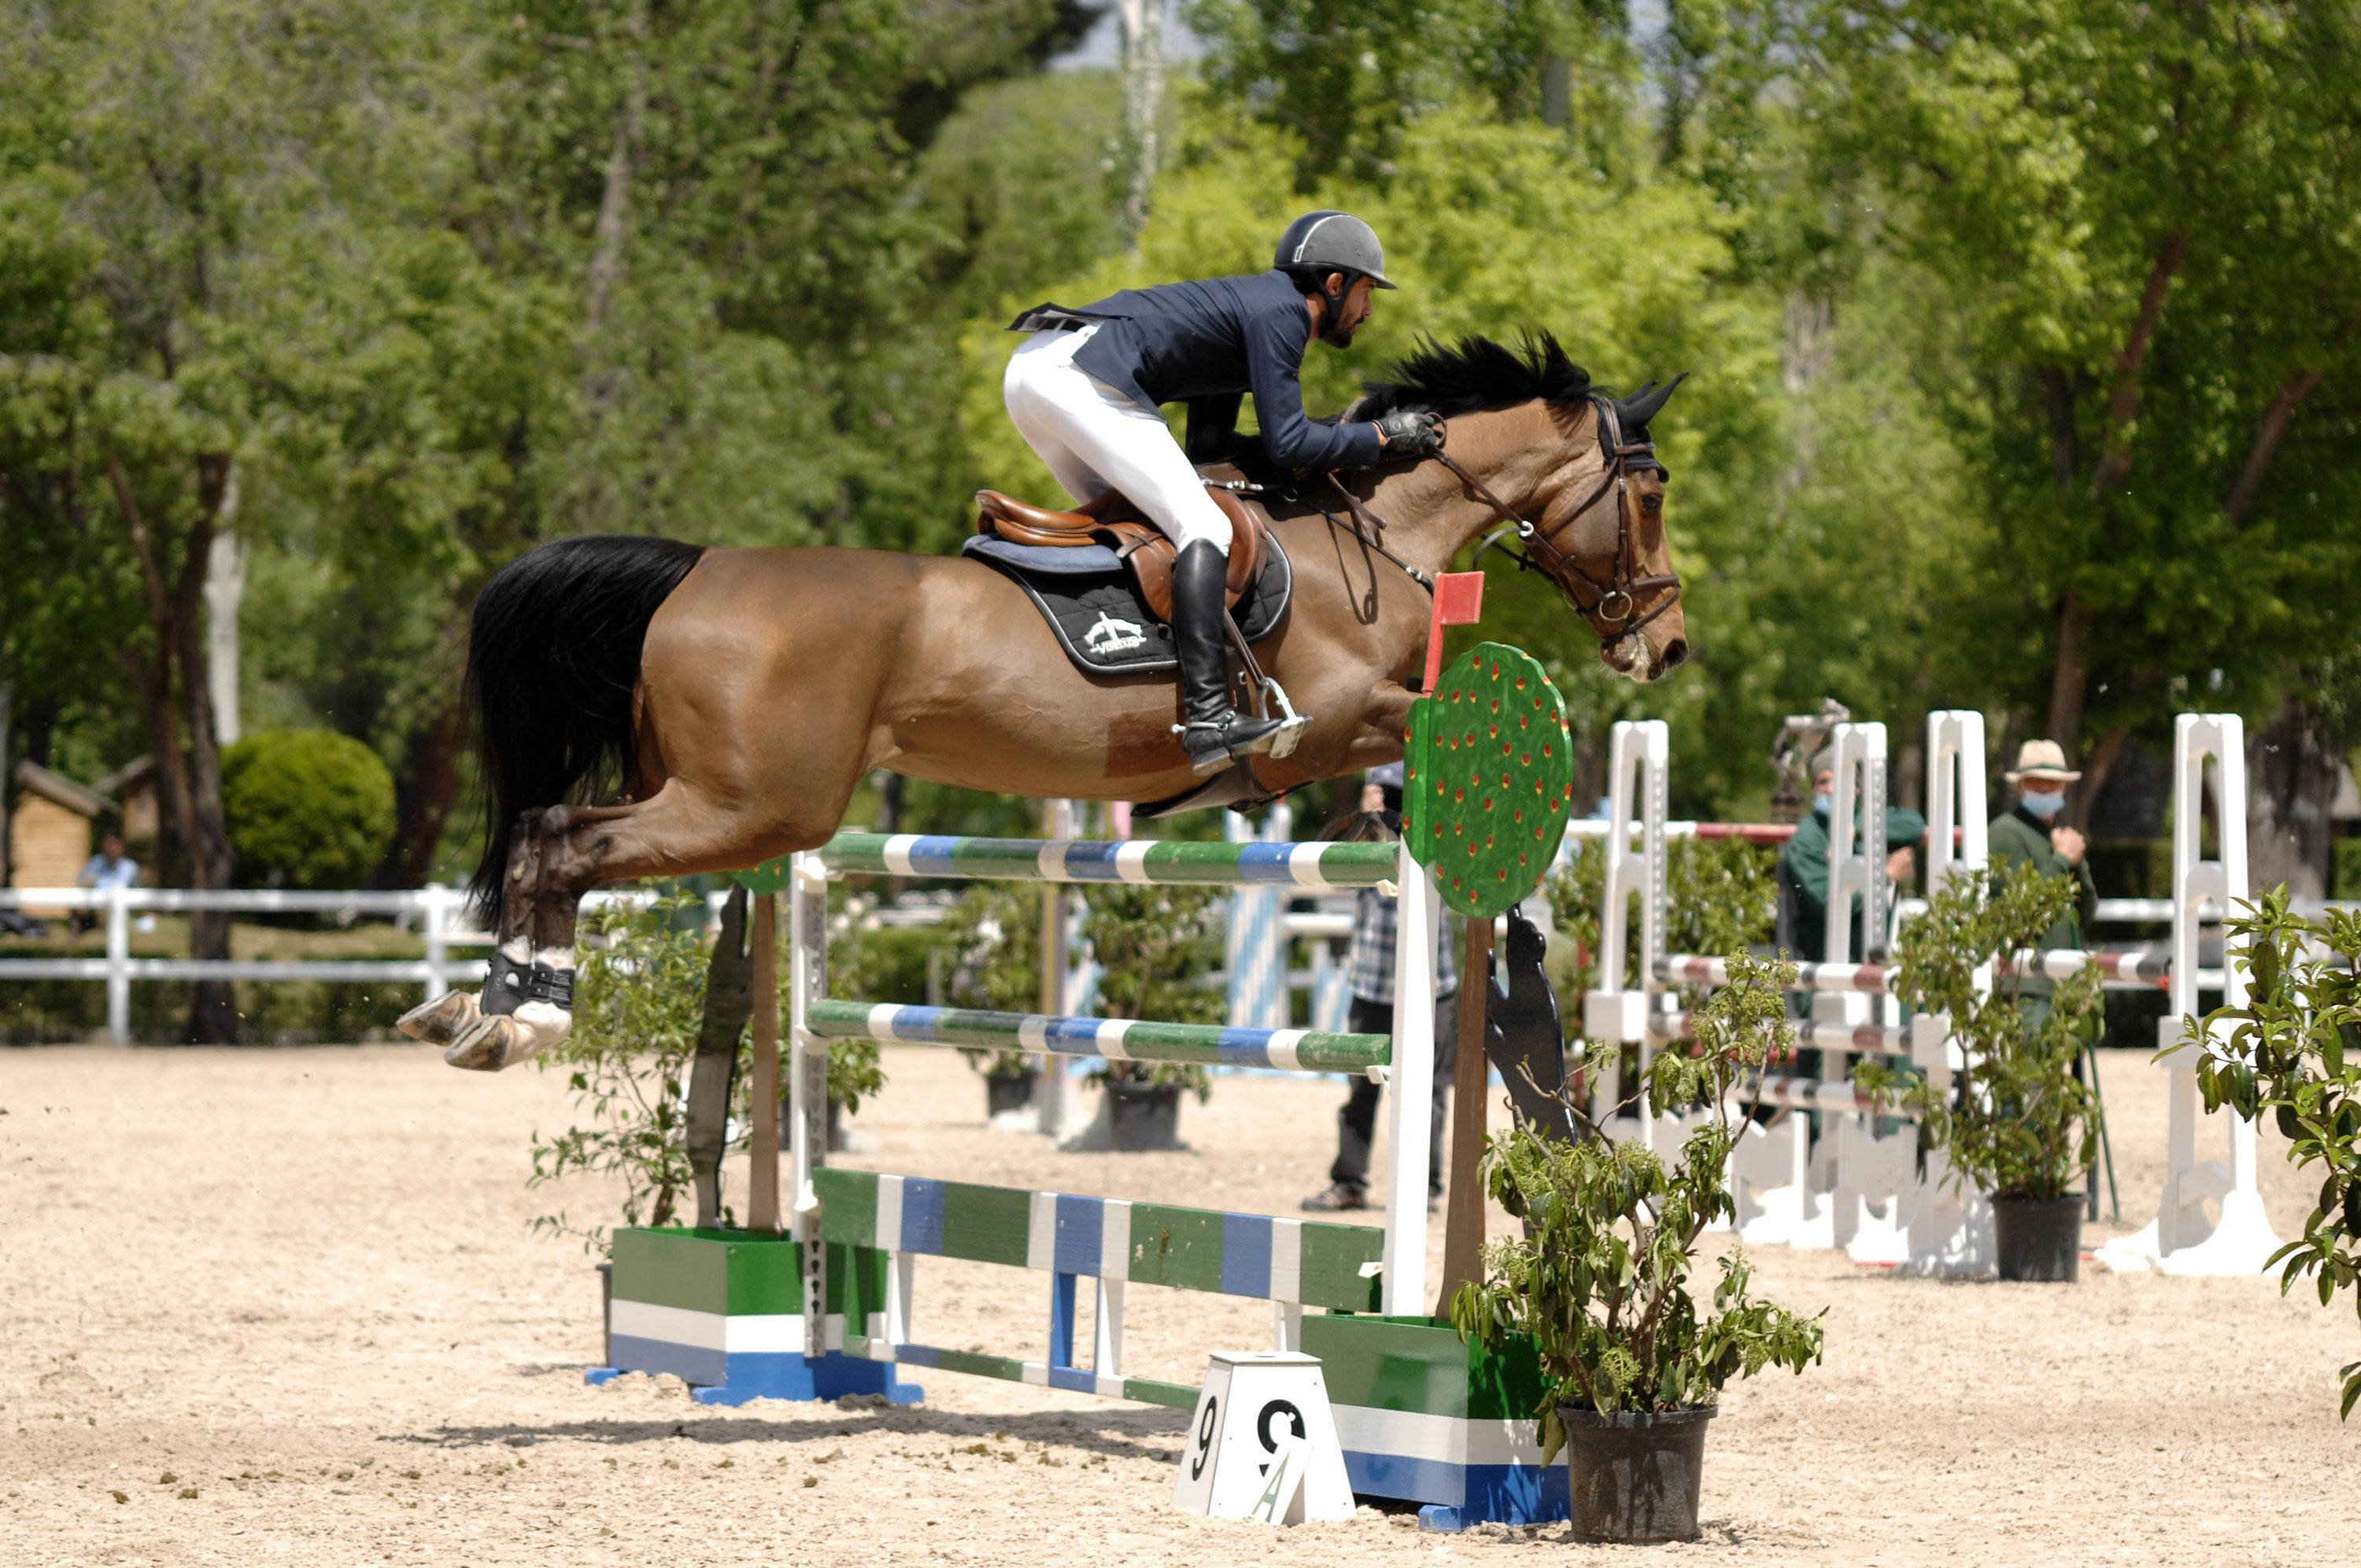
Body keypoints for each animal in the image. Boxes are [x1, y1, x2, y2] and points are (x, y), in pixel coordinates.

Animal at [411, 328, 1700, 1067]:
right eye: (1650, 494)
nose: (1668, 644)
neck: (1368, 533)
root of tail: (696, 567)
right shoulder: (1323, 724)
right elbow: (1402, 732)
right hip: (757, 806)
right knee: (564, 840)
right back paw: (526, 1015)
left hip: (715, 797)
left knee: (546, 832)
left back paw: (485, 1006)